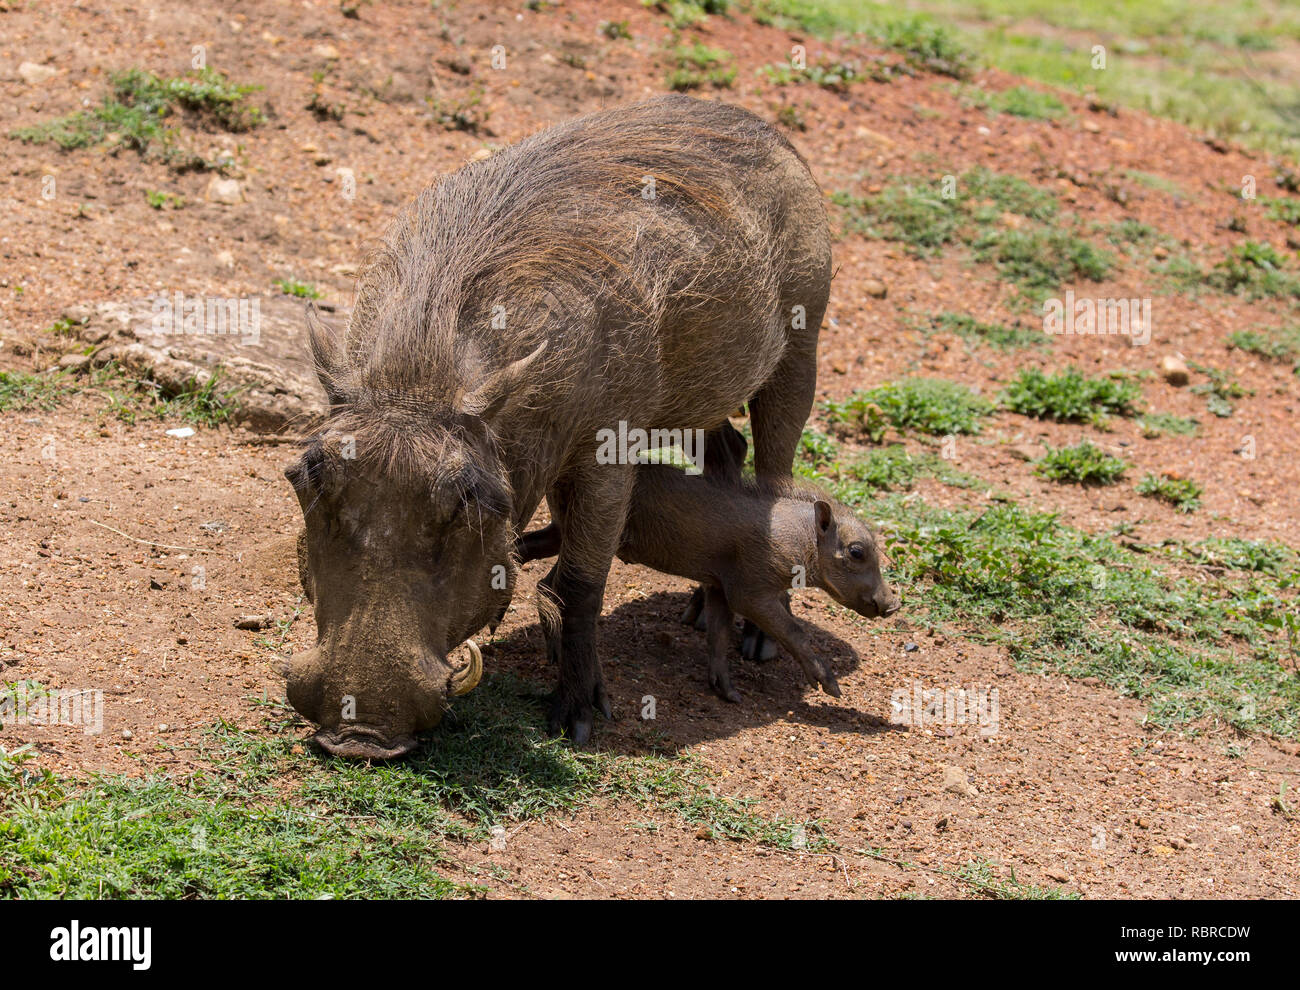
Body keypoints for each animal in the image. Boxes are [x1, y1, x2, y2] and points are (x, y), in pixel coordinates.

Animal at [284, 94, 831, 758]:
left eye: (468, 499)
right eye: (306, 476)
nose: (360, 739)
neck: (422, 376)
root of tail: (764, 128)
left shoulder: (607, 450)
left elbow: (579, 583)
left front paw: (577, 716)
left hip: (801, 348)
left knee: (776, 476)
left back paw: (758, 640)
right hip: (701, 395)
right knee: (729, 449)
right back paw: (702, 610)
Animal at [518, 464, 900, 703]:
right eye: (856, 551)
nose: (893, 605)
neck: (799, 539)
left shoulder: (719, 589)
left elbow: (718, 637)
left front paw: (727, 693)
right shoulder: (750, 594)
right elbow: (795, 633)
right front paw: (830, 687)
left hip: (560, 532)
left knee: (532, 565)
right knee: (551, 584)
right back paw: (554, 653)